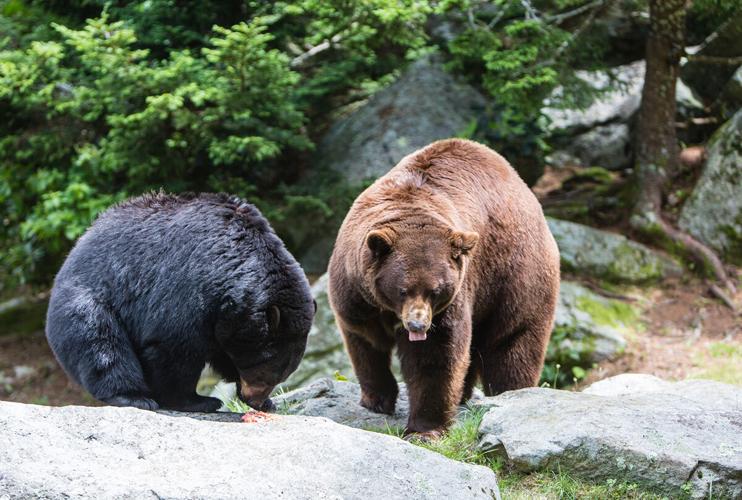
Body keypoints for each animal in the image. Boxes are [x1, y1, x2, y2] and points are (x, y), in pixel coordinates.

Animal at [46, 192, 315, 413]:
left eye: (280, 376)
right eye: (265, 372)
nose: (255, 401)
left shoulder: (226, 318)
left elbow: (223, 349)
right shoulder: (189, 285)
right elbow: (174, 346)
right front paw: (197, 401)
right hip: (86, 301)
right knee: (102, 344)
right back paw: (133, 396)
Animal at [327, 139, 560, 437]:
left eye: (435, 291)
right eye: (402, 289)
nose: (417, 325)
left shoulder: (453, 299)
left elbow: (436, 355)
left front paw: (425, 428)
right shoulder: (357, 295)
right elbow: (365, 342)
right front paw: (376, 399)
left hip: (514, 275)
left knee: (512, 341)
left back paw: (511, 394)